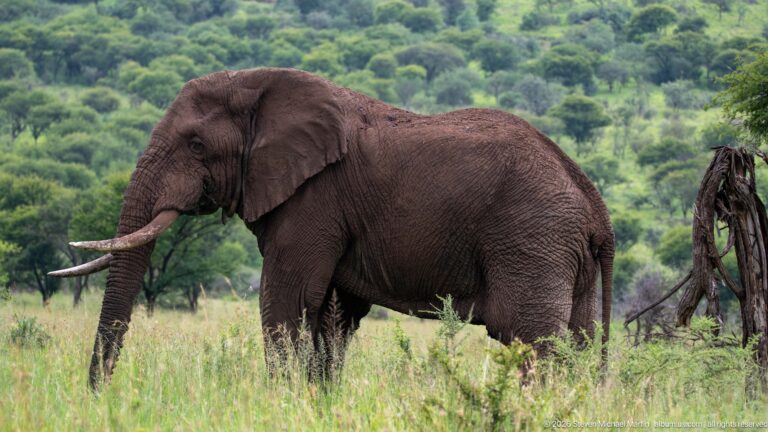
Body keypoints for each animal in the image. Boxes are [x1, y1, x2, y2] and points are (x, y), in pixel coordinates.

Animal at [50, 68, 614, 389]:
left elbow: (287, 300)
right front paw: (315, 400)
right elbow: (332, 315)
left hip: (531, 239)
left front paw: (281, 402)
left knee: (534, 341)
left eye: (194, 145)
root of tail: (595, 207)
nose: (98, 396)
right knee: (577, 342)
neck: (263, 89)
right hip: (562, 253)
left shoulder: (314, 200)